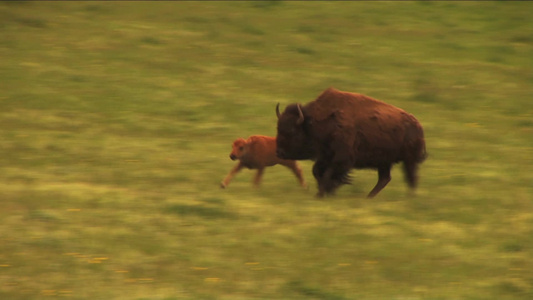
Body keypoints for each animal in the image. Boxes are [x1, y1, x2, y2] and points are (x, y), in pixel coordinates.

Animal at [276, 88, 426, 198]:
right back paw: (369, 197)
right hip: (384, 162)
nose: (279, 152)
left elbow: (328, 174)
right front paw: (324, 192)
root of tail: (417, 125)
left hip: (408, 161)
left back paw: (409, 197)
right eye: (278, 128)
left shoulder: (341, 158)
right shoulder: (325, 156)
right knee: (385, 179)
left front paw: (323, 193)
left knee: (411, 178)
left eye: (293, 132)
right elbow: (317, 171)